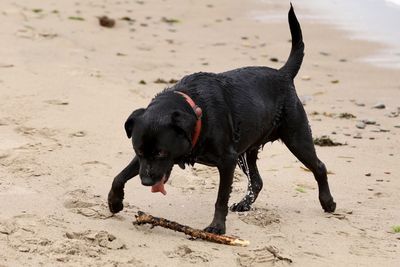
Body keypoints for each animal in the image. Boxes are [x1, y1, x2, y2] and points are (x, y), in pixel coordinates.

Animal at [108, 4, 336, 234]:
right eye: (138, 151)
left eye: (161, 153)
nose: (146, 181)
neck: (197, 110)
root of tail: (284, 74)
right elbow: (119, 176)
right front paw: (114, 201)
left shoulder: (227, 161)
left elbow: (221, 199)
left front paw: (217, 226)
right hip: (247, 150)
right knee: (257, 181)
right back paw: (245, 204)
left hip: (296, 137)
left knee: (319, 166)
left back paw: (328, 202)